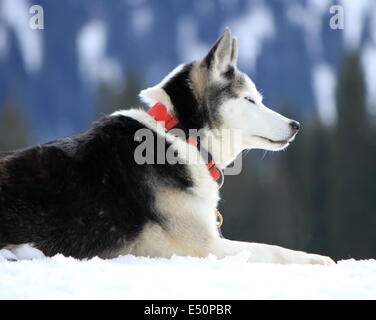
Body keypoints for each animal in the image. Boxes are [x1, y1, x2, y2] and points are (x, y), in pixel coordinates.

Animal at [0, 27, 334, 264]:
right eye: (249, 100)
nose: (296, 125)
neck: (182, 136)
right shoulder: (204, 246)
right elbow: (274, 250)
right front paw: (320, 260)